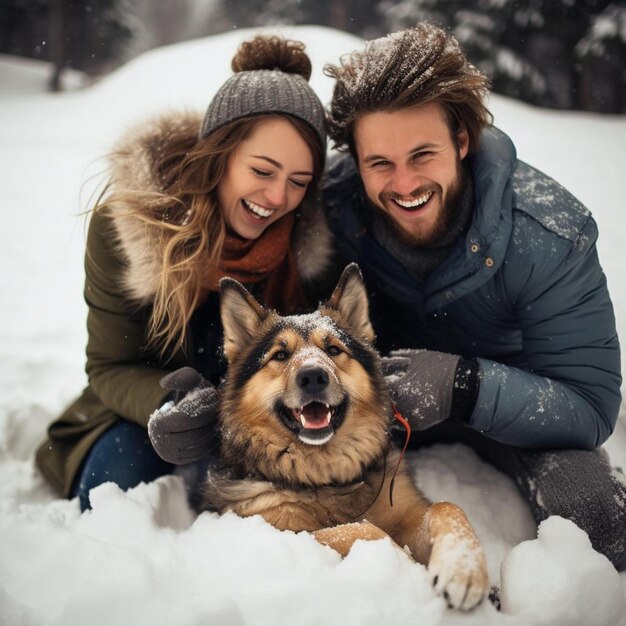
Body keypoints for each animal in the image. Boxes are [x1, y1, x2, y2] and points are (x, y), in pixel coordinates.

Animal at [200, 264, 488, 608]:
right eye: (280, 355)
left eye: (334, 349)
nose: (313, 376)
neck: (325, 475)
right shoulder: (276, 528)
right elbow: (360, 530)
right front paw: (404, 564)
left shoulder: (408, 511)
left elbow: (447, 506)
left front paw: (463, 569)